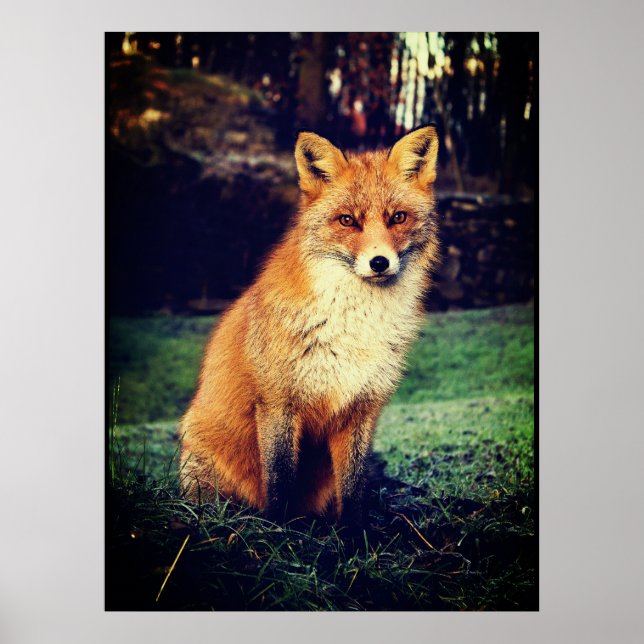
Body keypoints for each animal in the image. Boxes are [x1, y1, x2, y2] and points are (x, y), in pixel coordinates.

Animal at [179, 125, 440, 528]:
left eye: (398, 217)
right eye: (347, 220)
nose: (379, 262)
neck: (354, 327)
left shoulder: (361, 408)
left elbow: (354, 487)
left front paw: (355, 533)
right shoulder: (277, 403)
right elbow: (280, 479)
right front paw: (280, 529)